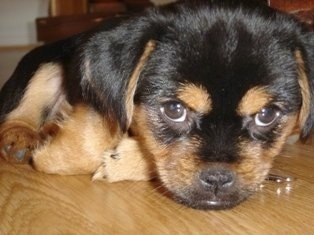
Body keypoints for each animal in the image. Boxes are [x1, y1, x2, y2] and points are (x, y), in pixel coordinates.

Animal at [0, 0, 314, 209]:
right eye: (174, 110)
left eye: (267, 114)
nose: (217, 179)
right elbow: (89, 142)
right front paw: (53, 151)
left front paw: (119, 159)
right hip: (45, 64)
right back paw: (20, 137)